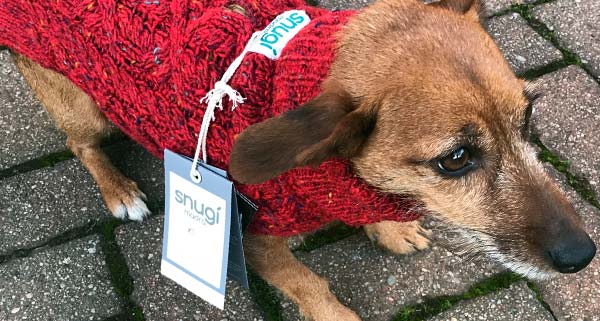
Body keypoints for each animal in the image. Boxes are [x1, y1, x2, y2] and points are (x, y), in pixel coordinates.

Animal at [8, 0, 596, 320]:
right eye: (455, 160)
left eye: (529, 119)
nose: (582, 255)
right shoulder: (254, 241)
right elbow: (309, 286)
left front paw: (389, 227)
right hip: (87, 109)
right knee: (79, 144)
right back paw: (119, 189)